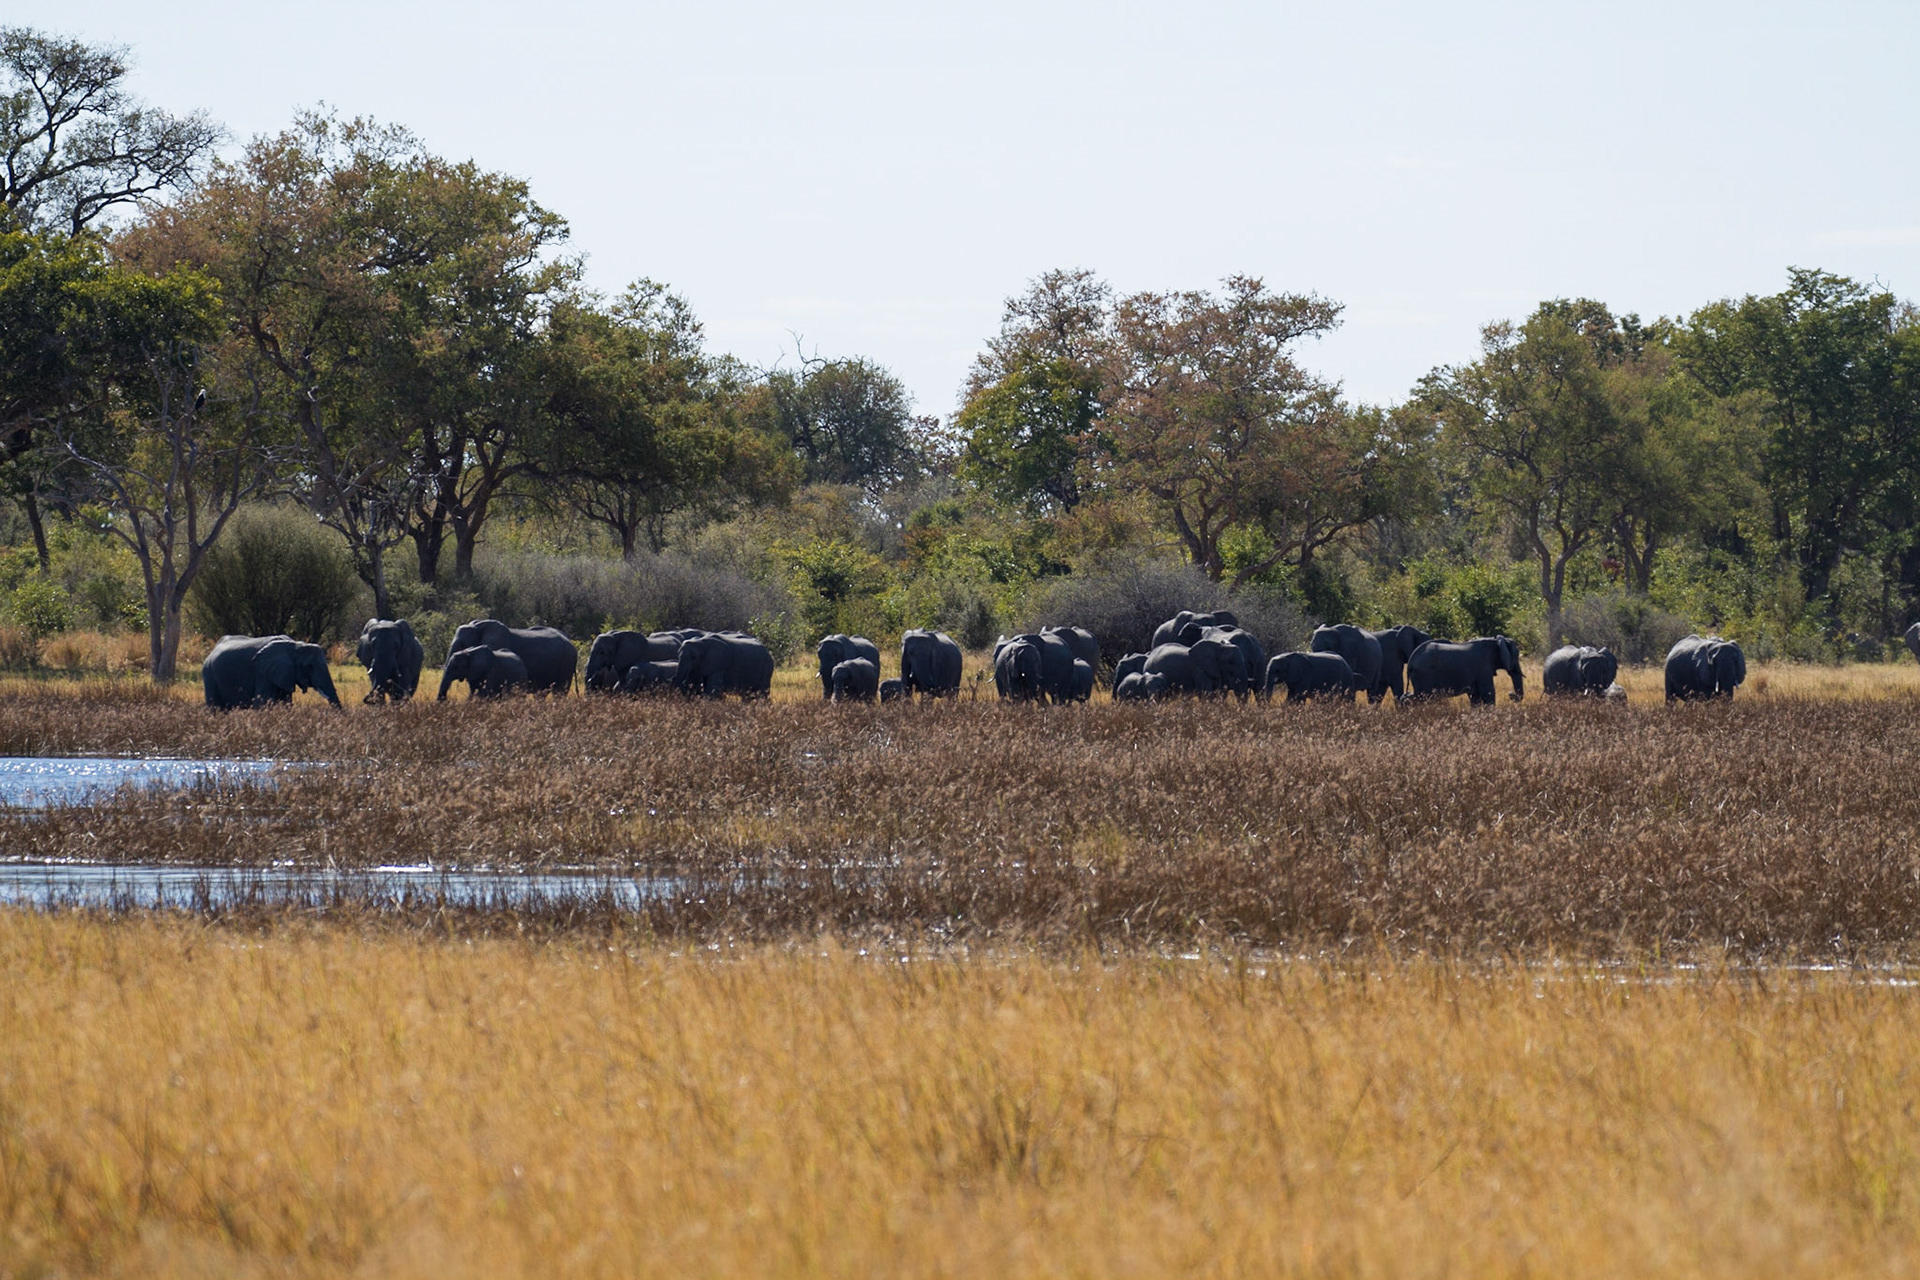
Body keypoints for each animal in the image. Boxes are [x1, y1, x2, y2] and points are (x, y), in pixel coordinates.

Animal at [202, 635, 342, 710]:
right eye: (309, 666)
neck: (294, 645)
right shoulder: (262, 672)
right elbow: (261, 704)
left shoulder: (284, 674)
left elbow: (286, 703)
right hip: (208, 673)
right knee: (216, 708)